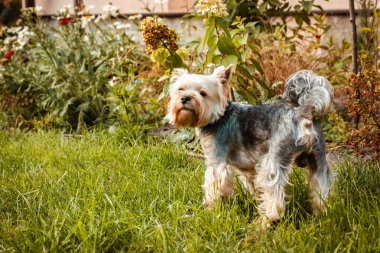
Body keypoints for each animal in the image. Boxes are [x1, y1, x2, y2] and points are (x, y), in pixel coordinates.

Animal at [166, 64, 332, 223]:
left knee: (275, 196)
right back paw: (320, 215)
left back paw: (265, 222)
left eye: (202, 93)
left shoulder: (216, 162)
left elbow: (214, 186)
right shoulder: (248, 168)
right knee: (320, 187)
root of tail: (302, 114)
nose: (185, 98)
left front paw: (210, 209)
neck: (218, 116)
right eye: (180, 89)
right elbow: (251, 184)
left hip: (273, 160)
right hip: (318, 159)